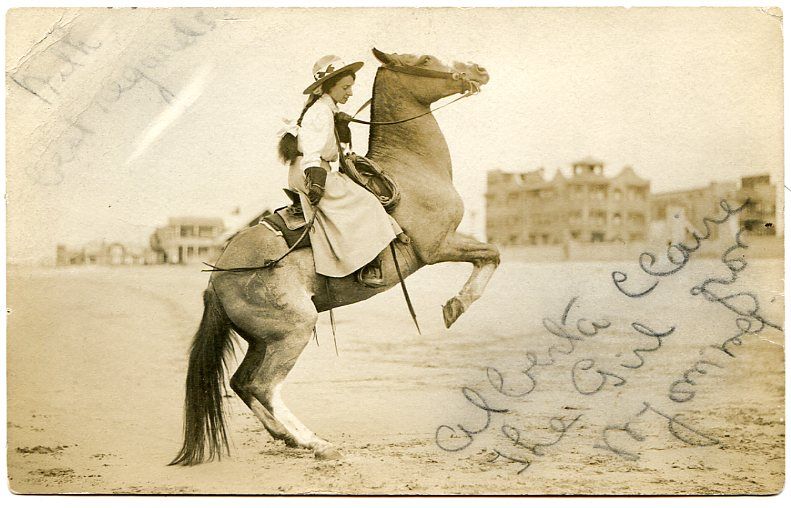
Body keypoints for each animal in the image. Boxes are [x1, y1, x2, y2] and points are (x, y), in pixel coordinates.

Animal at [173, 48, 502, 464]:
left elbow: (490, 255)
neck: (411, 171)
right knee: (263, 385)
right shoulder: (437, 245)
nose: (479, 70)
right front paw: (456, 305)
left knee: (242, 382)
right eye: (426, 59)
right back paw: (316, 443)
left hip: (263, 340)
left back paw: (287, 437)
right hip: (294, 331)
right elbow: (491, 254)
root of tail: (216, 279)